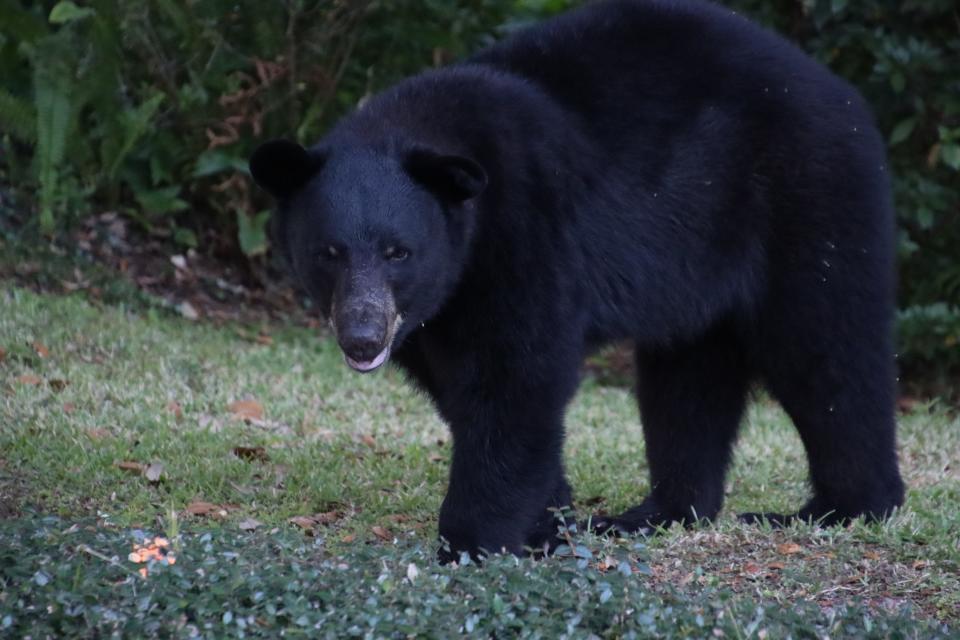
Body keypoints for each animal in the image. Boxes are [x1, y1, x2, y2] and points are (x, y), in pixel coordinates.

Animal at [249, 0, 908, 560]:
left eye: (398, 252)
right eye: (329, 252)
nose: (363, 337)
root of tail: (847, 98)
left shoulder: (527, 227)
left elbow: (517, 374)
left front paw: (471, 541)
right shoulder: (435, 313)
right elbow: (464, 391)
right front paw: (548, 522)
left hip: (809, 200)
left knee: (826, 350)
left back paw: (840, 507)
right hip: (698, 267)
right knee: (686, 379)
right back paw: (657, 512)